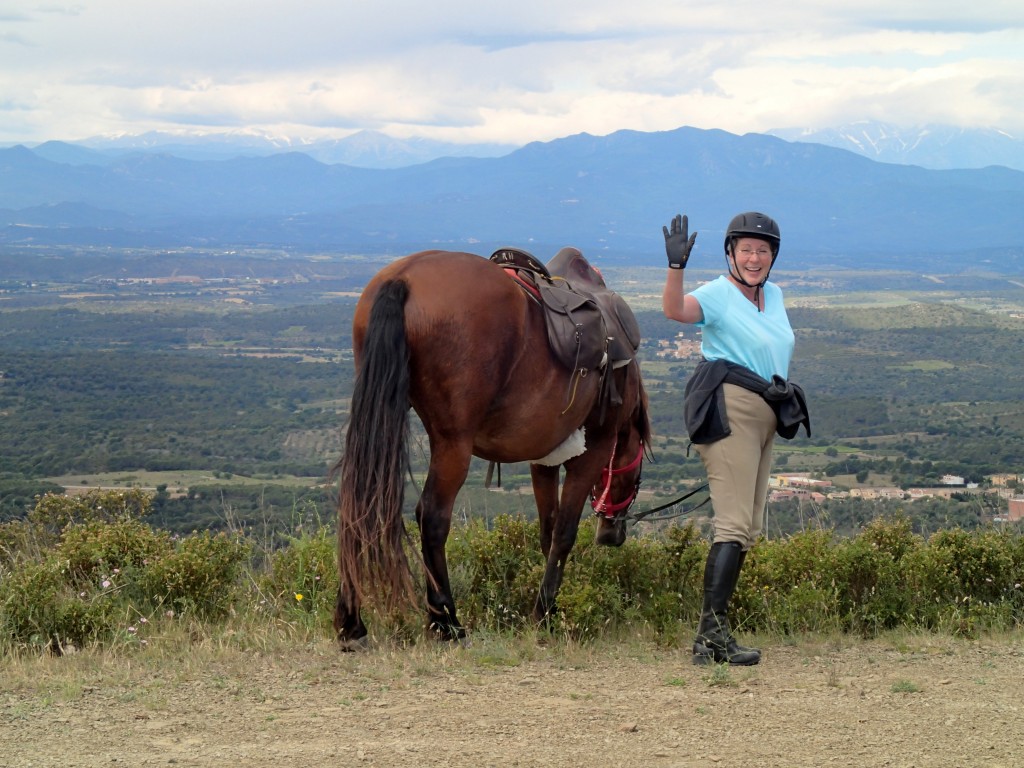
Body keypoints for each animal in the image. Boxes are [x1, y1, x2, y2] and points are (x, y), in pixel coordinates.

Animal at [337, 249, 655, 647]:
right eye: (637, 476)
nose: (613, 535)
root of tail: (403, 278)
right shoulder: (595, 448)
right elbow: (564, 533)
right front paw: (545, 615)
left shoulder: (544, 457)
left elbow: (548, 531)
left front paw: (545, 608)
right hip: (453, 443)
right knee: (432, 516)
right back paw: (446, 621)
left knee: (358, 503)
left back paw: (351, 623)